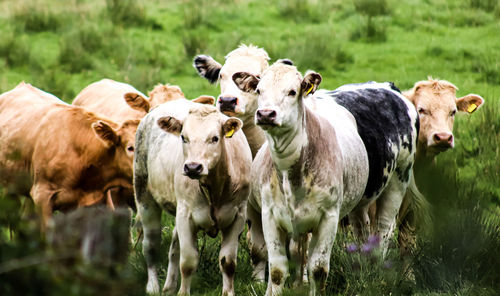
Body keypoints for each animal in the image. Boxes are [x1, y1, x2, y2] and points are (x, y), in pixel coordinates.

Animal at [134, 100, 252, 296]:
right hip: (144, 196)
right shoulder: (186, 215)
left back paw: (169, 286)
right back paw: (153, 286)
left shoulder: (238, 215)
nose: (193, 167)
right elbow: (188, 261)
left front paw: (228, 292)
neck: (215, 188)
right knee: (151, 245)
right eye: (183, 137)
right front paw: (183, 292)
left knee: (174, 248)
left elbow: (227, 262)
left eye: (215, 138)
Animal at [234, 60, 418, 296]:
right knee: (362, 229)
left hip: (398, 178)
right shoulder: (270, 215)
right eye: (259, 90)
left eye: (292, 92)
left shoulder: (328, 218)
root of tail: (388, 87)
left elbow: (318, 269)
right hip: (360, 197)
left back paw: (377, 272)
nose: (266, 114)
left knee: (384, 230)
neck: (291, 174)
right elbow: (276, 270)